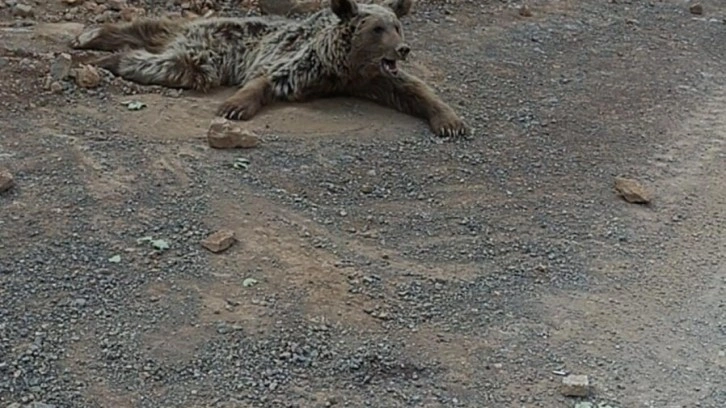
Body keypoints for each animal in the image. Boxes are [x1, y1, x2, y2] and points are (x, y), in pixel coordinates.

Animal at [72, 0, 472, 137]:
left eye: (396, 25)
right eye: (377, 29)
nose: (403, 48)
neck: (345, 66)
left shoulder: (371, 79)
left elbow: (413, 90)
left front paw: (450, 122)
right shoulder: (305, 62)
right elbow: (270, 78)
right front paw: (235, 106)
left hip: (195, 39)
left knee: (156, 31)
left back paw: (97, 38)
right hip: (209, 48)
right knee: (167, 59)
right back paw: (99, 51)